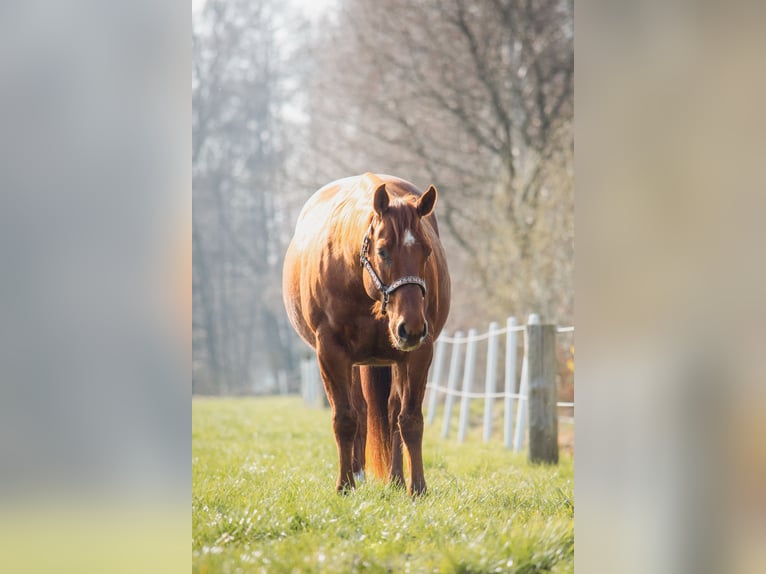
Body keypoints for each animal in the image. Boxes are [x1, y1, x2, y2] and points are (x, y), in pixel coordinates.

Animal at [282, 171, 450, 496]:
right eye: (382, 251)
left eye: (426, 251)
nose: (411, 327)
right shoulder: (331, 352)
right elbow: (346, 419)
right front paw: (344, 485)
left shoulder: (418, 353)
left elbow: (410, 420)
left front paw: (417, 488)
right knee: (359, 410)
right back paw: (357, 475)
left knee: (391, 412)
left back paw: (396, 479)